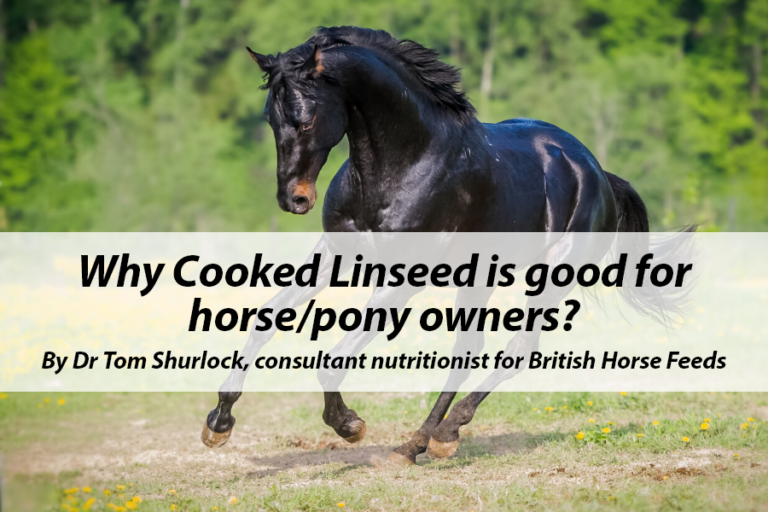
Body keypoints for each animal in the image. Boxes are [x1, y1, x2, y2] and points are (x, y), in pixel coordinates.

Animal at [202, 26, 668, 465]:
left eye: (306, 119)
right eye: (270, 117)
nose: (293, 199)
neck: (403, 164)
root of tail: (599, 173)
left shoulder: (405, 275)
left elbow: (335, 357)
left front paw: (350, 425)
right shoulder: (336, 253)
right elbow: (266, 318)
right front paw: (219, 423)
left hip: (553, 275)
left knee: (519, 350)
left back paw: (444, 433)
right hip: (480, 278)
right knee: (468, 350)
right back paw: (418, 444)